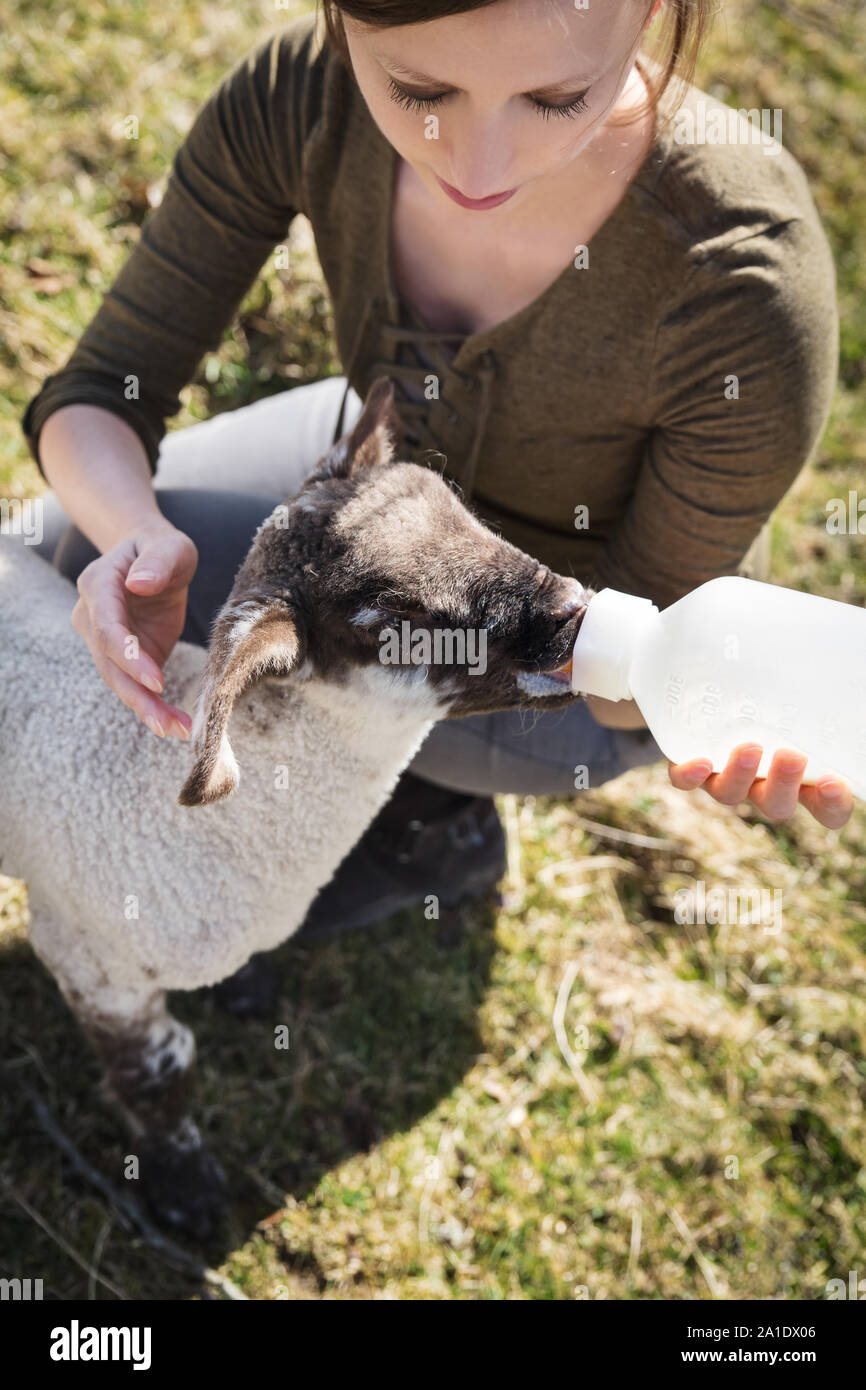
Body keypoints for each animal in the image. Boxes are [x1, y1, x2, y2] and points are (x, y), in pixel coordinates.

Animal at [0, 375, 589, 1234]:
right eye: (394, 620)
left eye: (457, 506)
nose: (571, 607)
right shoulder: (88, 958)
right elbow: (158, 1075)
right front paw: (187, 1191)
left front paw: (246, 990)